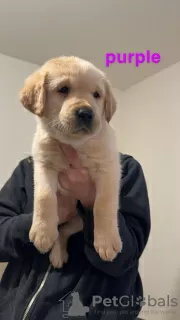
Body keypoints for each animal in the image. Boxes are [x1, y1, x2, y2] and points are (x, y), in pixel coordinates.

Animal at [20, 57, 123, 268]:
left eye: (96, 95)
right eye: (63, 89)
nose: (86, 113)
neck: (75, 144)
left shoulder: (109, 167)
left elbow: (104, 203)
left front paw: (107, 241)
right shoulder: (43, 163)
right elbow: (44, 196)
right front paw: (42, 232)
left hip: (80, 220)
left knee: (65, 231)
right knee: (62, 230)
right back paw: (56, 252)